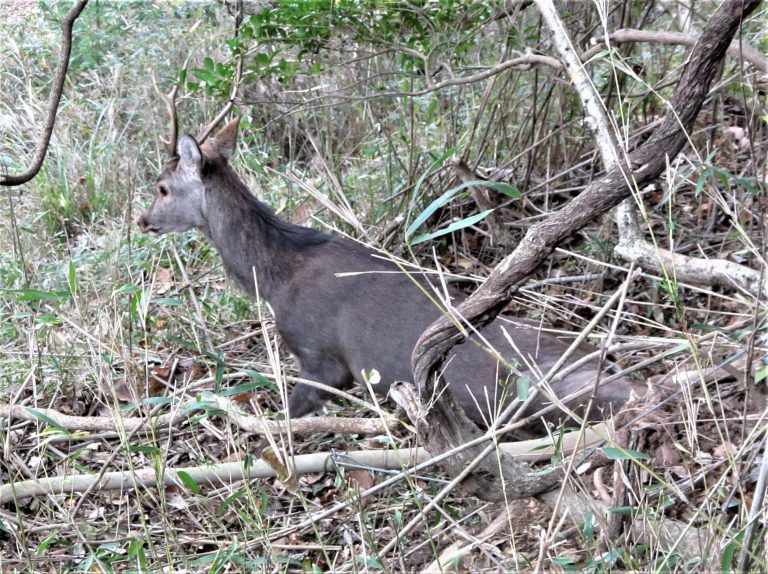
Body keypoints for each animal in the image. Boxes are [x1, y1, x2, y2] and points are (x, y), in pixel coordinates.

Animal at [138, 111, 640, 432]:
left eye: (162, 187)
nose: (142, 220)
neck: (274, 276)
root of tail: (607, 362)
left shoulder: (321, 357)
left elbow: (287, 418)